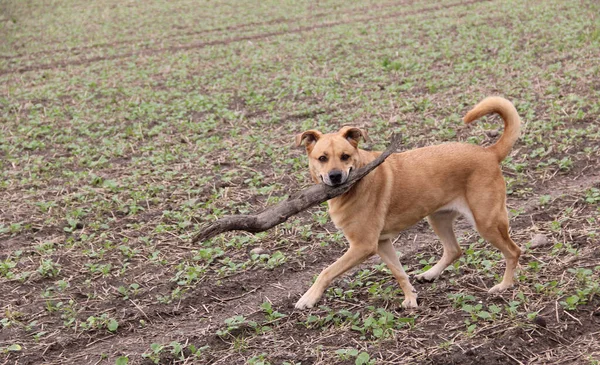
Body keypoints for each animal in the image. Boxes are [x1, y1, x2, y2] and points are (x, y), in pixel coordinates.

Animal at [294, 96, 520, 308]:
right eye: (322, 158)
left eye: (345, 156)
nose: (335, 176)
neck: (355, 185)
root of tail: (489, 152)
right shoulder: (382, 243)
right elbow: (399, 272)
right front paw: (411, 299)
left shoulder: (363, 245)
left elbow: (326, 271)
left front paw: (308, 298)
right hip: (438, 218)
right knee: (454, 250)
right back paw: (430, 274)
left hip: (486, 222)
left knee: (513, 251)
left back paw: (504, 286)